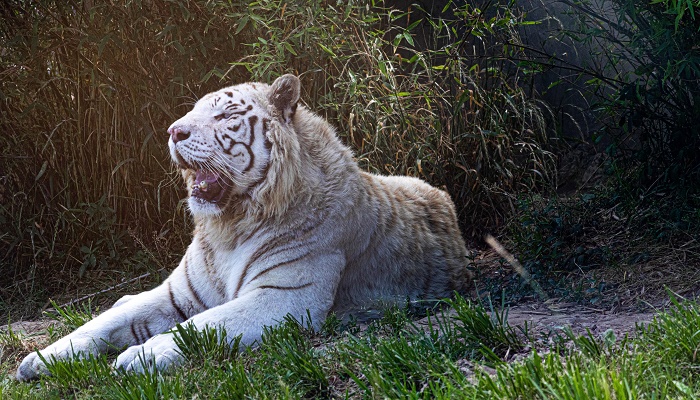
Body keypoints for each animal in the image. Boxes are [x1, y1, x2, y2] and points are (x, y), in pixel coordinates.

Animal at [16, 74, 472, 380]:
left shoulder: (285, 296)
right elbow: (100, 325)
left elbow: (203, 325)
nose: (173, 131)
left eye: (225, 114)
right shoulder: (178, 293)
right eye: (193, 112)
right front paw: (39, 359)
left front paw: (141, 355)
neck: (230, 226)